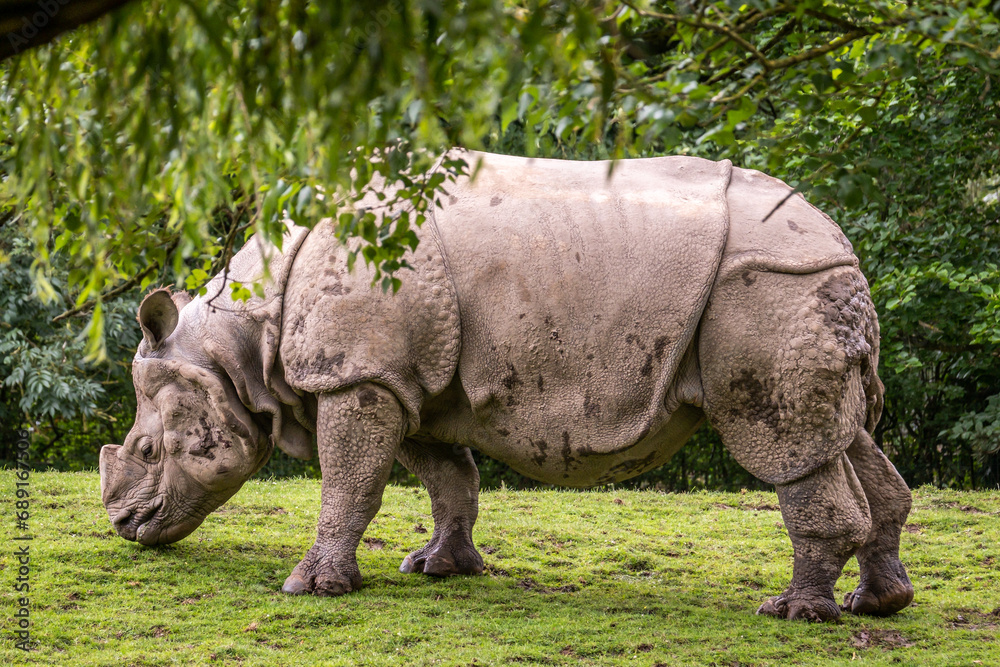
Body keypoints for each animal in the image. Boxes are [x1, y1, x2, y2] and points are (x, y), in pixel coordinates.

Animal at [99, 151, 914, 621]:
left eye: (148, 450)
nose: (126, 528)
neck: (240, 338)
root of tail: (841, 242)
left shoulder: (359, 376)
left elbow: (349, 482)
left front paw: (310, 587)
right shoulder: (411, 384)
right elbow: (446, 478)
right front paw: (439, 568)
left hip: (769, 286)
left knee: (784, 444)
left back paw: (793, 613)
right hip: (804, 287)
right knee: (848, 437)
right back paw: (877, 604)